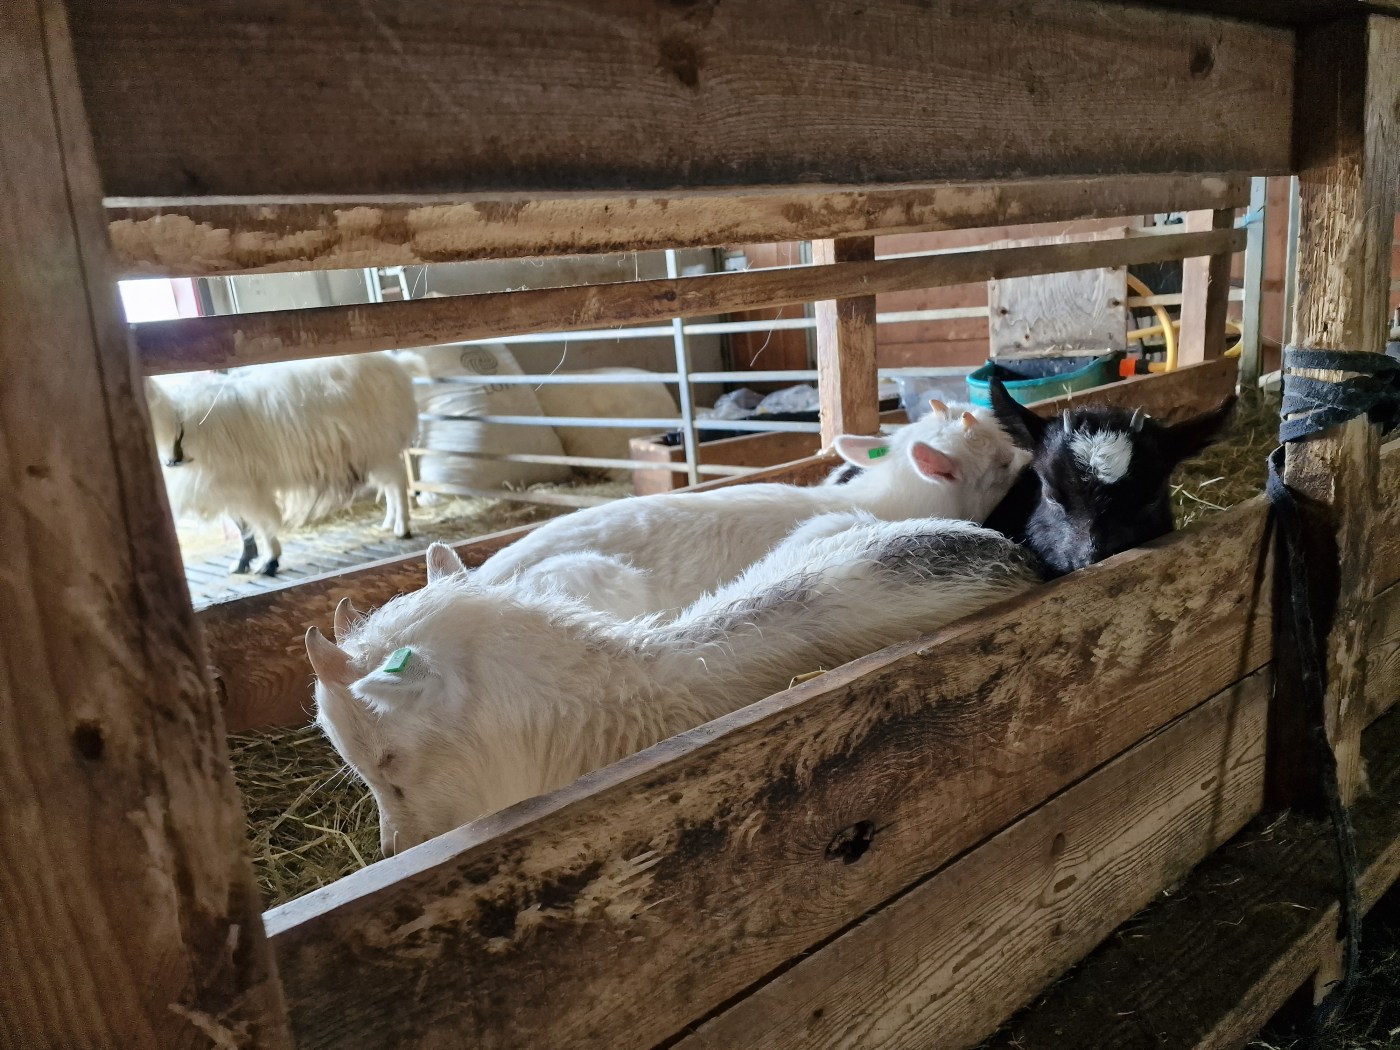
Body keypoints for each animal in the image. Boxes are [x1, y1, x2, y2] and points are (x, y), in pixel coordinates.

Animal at [146, 353, 418, 575]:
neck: (176, 423)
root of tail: (399, 366)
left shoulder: (245, 487)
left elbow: (260, 524)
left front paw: (269, 561)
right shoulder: (228, 489)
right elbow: (242, 526)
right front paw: (243, 562)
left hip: (378, 445)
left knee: (397, 481)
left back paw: (402, 526)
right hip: (370, 452)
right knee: (390, 484)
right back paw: (390, 522)